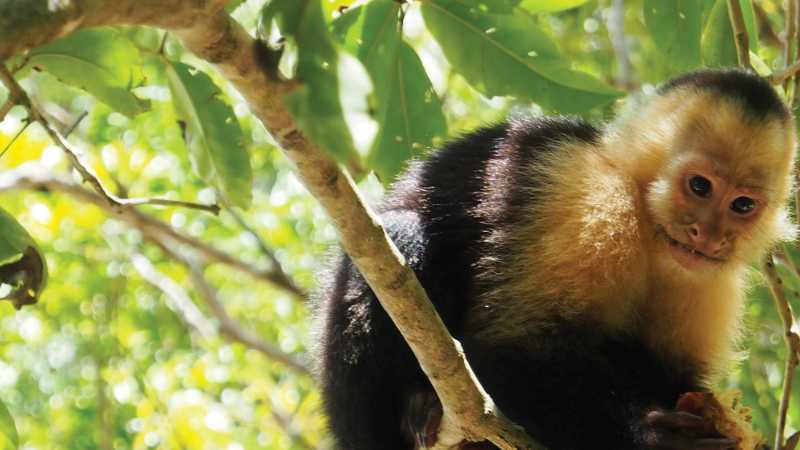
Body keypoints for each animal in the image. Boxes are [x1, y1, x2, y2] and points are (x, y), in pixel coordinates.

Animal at [312, 68, 797, 450]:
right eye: (699, 186)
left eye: (742, 205)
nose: (709, 236)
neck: (648, 228)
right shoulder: (585, 194)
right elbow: (510, 348)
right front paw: (653, 437)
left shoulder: (712, 281)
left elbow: (674, 379)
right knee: (402, 235)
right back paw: (417, 411)